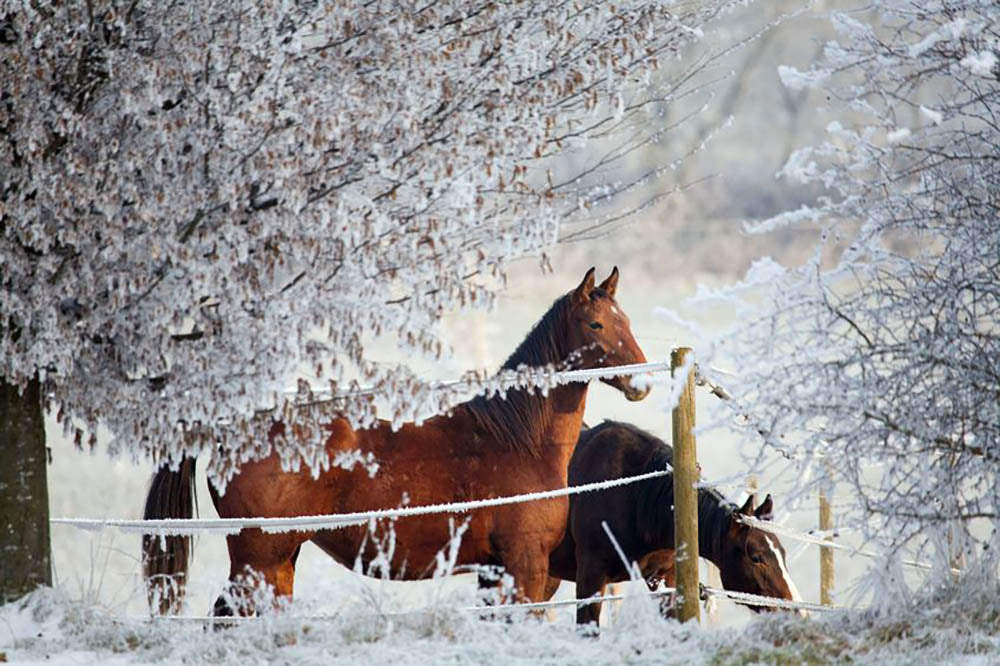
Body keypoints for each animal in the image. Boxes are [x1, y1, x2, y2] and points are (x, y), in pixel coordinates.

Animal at [142, 267, 651, 616]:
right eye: (596, 325)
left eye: (626, 319)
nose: (641, 384)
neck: (516, 439)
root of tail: (230, 429)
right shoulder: (524, 568)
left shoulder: (495, 573)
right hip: (259, 561)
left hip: (281, 560)